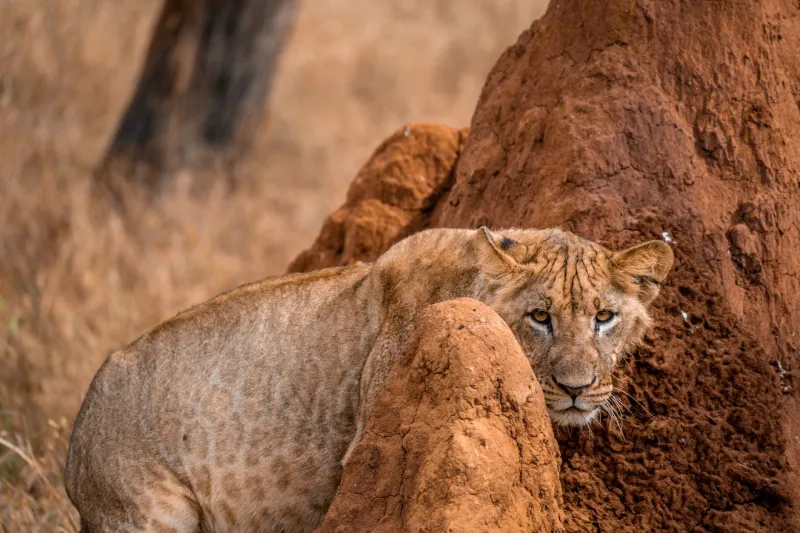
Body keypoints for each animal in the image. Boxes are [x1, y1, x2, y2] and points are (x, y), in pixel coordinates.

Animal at [65, 227, 673, 533]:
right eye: (540, 317)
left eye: (604, 317)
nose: (576, 387)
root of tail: (74, 437)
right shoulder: (369, 450)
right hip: (142, 514)